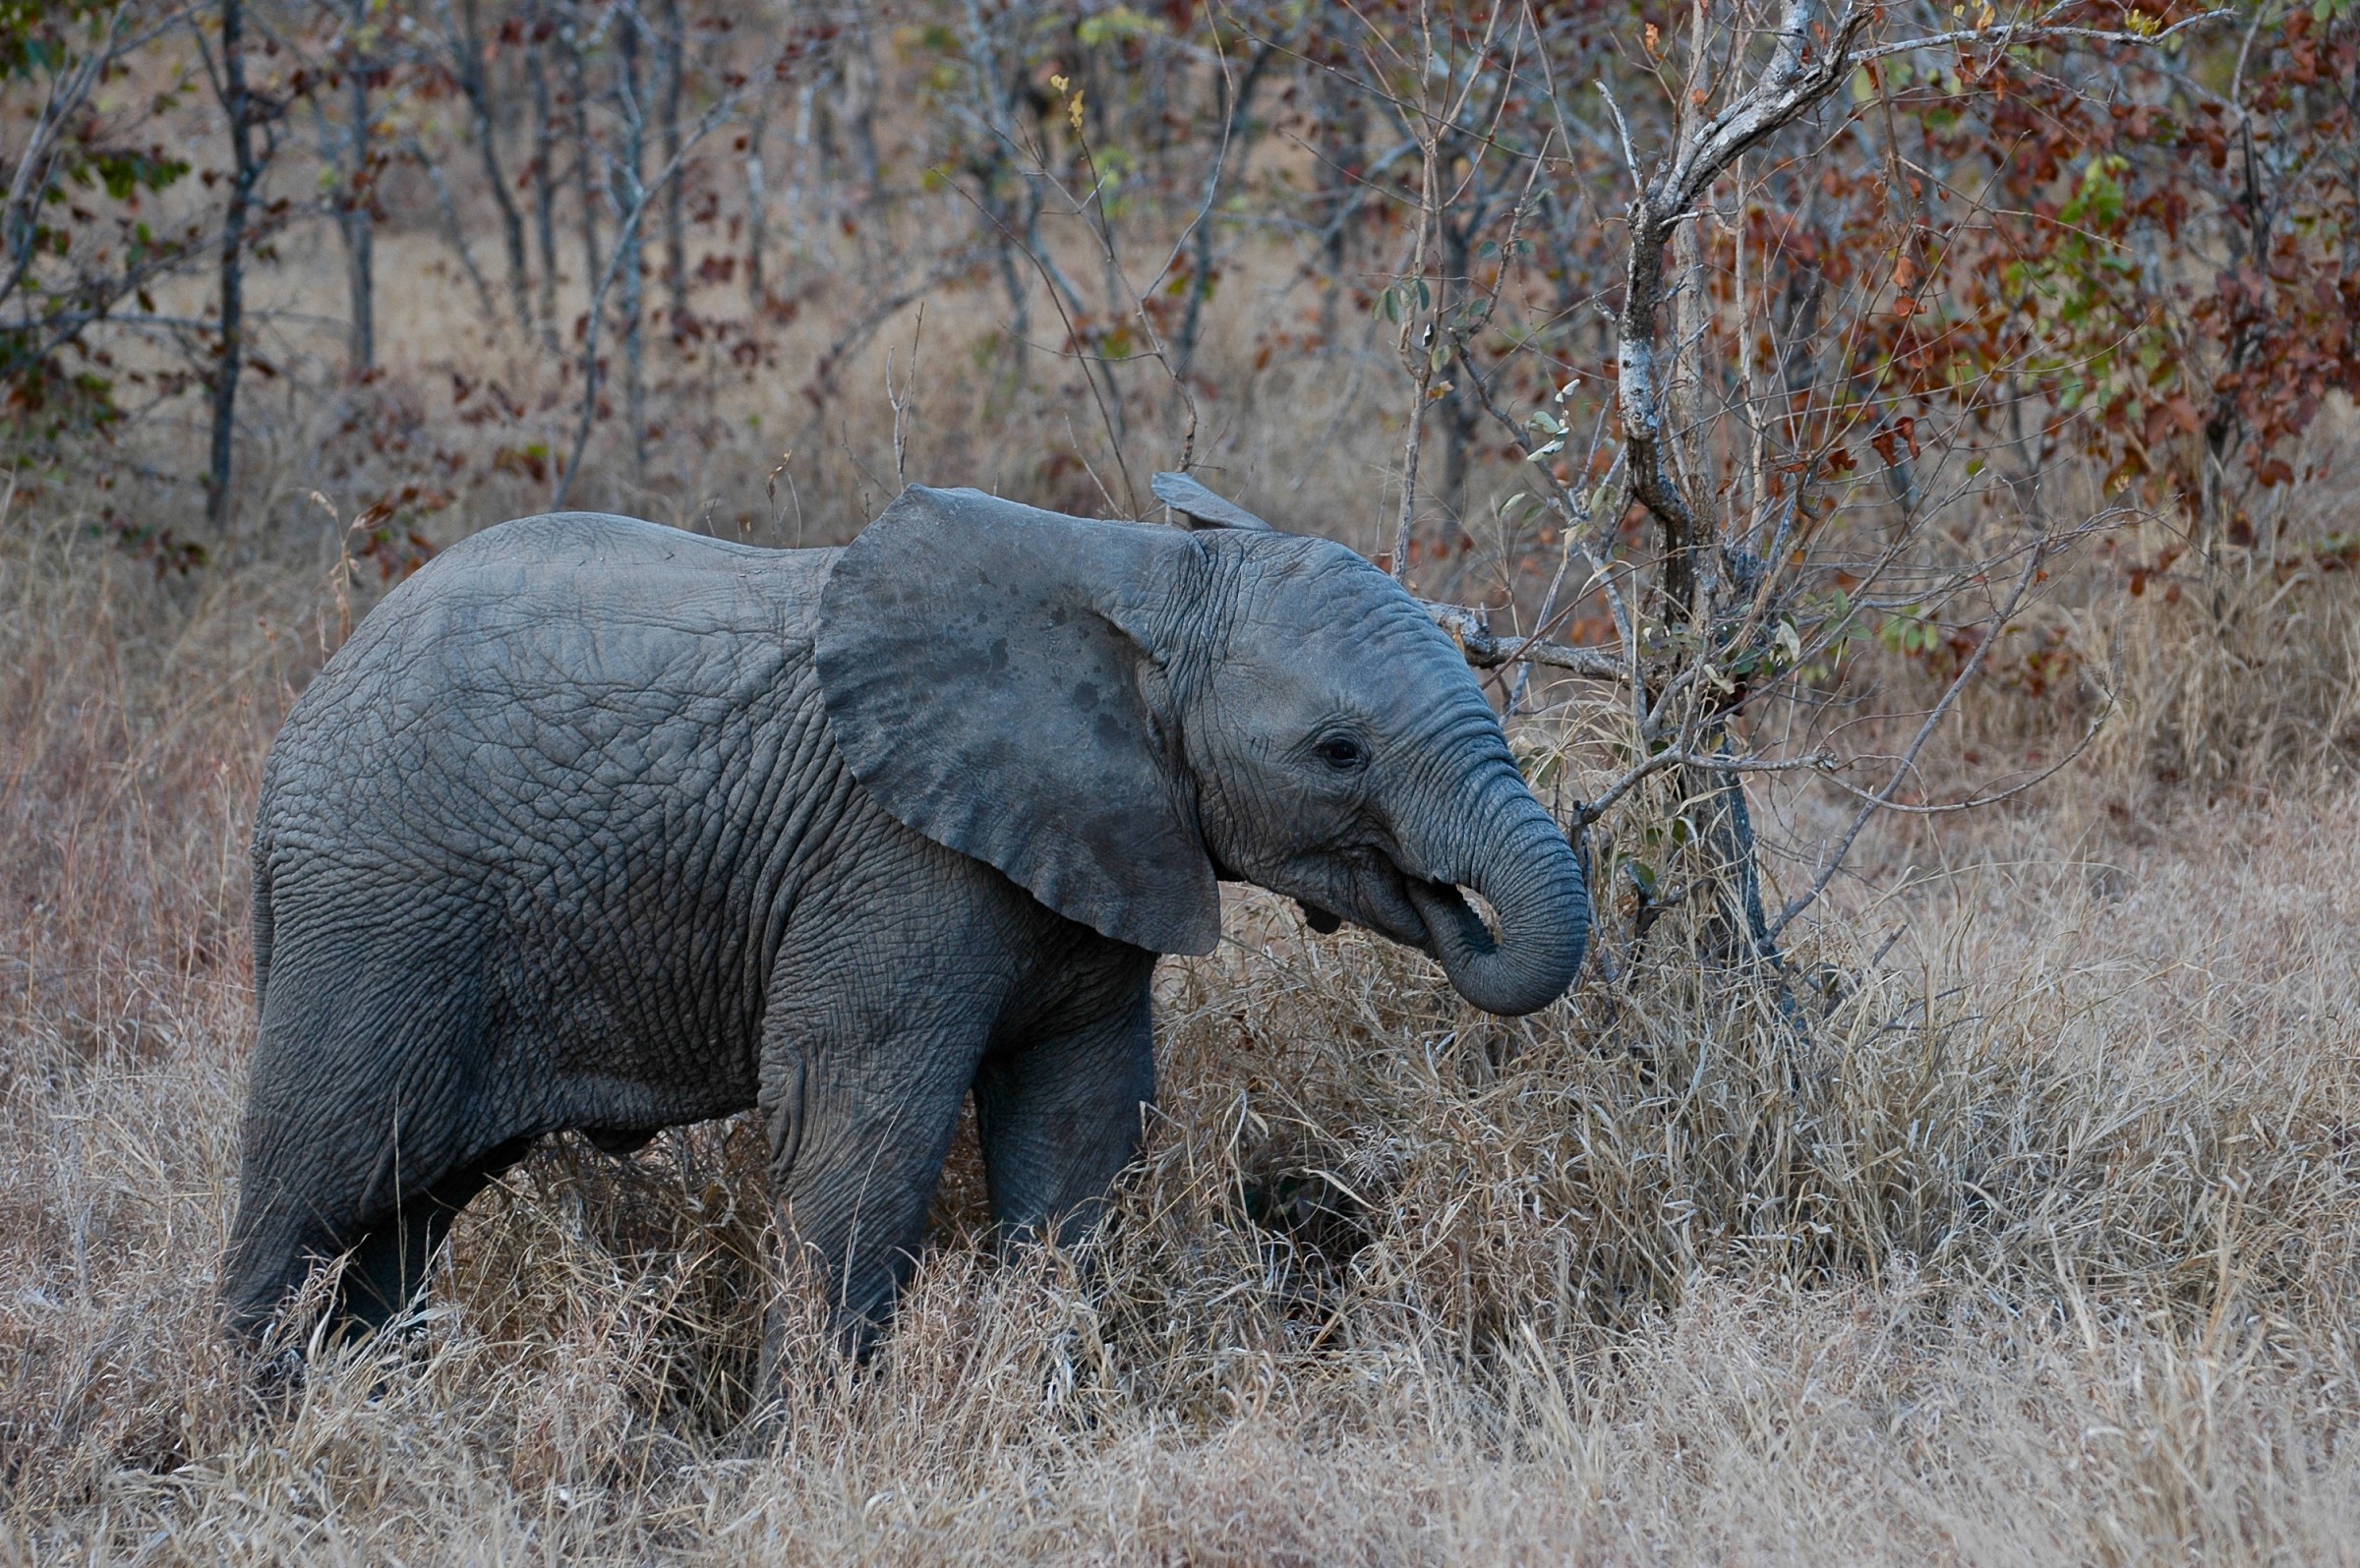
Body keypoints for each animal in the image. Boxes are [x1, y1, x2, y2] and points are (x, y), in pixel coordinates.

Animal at [222, 477, 1589, 1343]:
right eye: (1338, 751)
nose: (1451, 906)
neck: (1136, 572)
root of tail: (293, 739)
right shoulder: (889, 861)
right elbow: (861, 1133)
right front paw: (802, 1458)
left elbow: (1079, 1127)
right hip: (379, 912)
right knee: (319, 1180)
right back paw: (263, 1439)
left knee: (403, 1213)